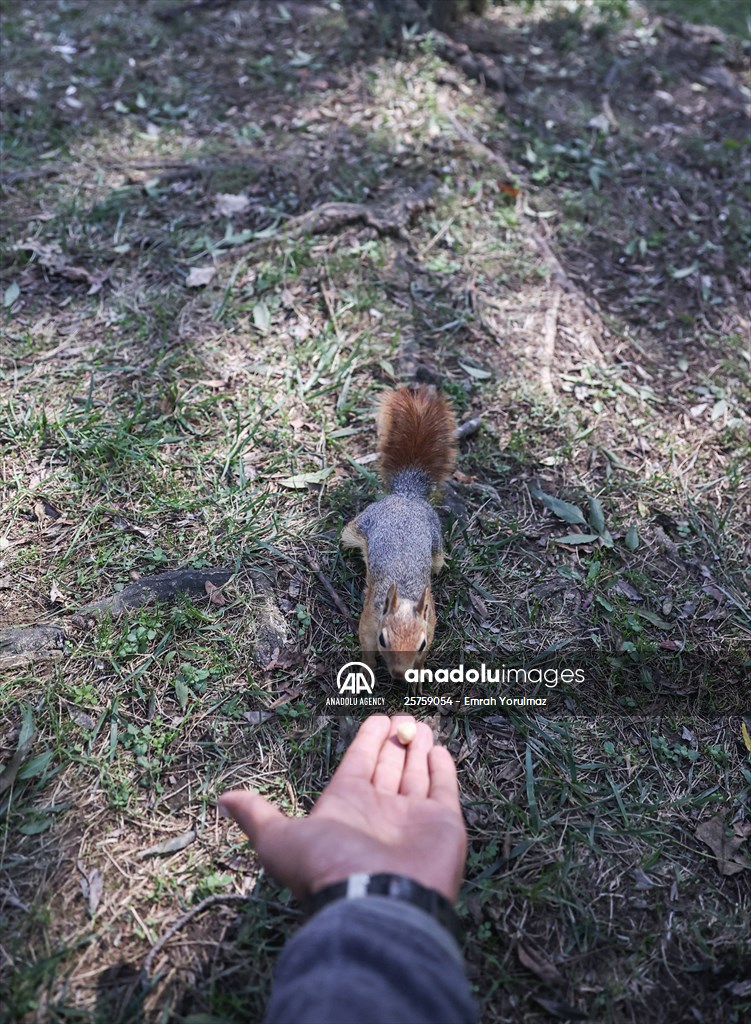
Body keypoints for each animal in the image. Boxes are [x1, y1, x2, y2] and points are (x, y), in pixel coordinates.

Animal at [342, 384, 456, 687]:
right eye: (383, 639)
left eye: (420, 643)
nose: (399, 675)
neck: (403, 594)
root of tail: (406, 495)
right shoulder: (368, 623)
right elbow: (366, 652)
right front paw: (367, 675)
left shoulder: (431, 625)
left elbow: (425, 658)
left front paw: (417, 678)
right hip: (359, 525)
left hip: (436, 544)